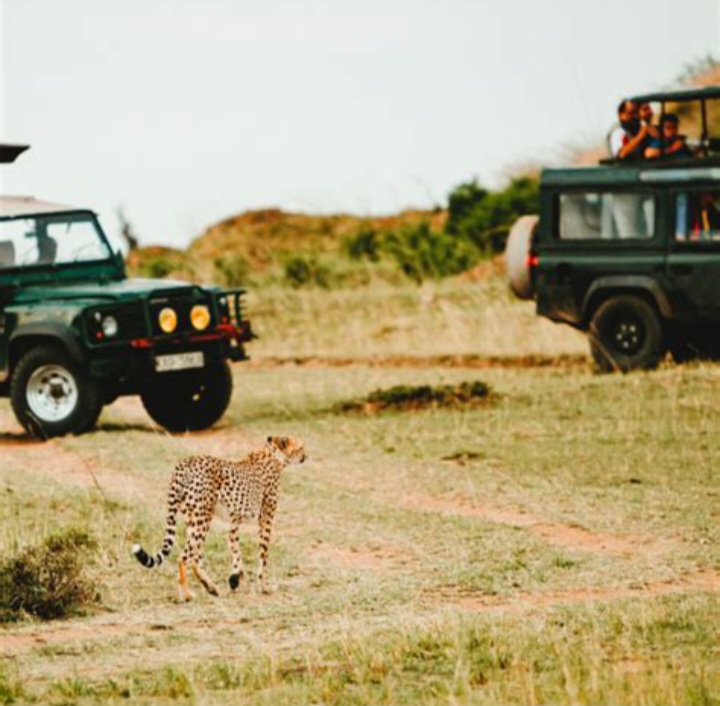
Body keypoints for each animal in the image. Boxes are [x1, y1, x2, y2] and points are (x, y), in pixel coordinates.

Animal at [132, 434, 306, 600]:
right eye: (300, 447)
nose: (306, 456)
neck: (273, 454)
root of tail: (184, 463)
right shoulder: (266, 518)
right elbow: (263, 554)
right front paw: (264, 587)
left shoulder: (234, 521)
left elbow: (235, 548)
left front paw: (235, 579)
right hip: (203, 517)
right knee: (184, 557)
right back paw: (187, 595)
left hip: (192, 518)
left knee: (195, 555)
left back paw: (210, 587)